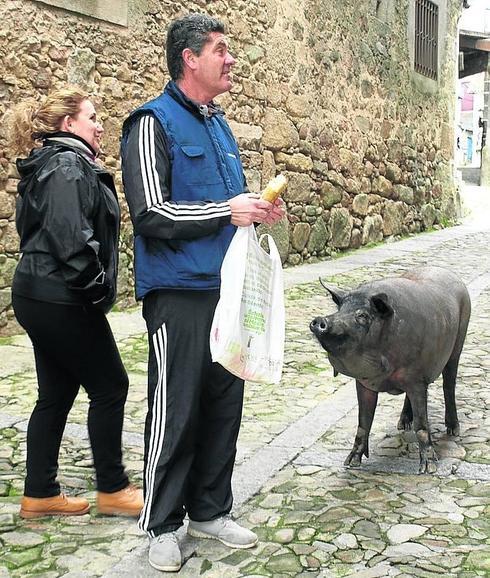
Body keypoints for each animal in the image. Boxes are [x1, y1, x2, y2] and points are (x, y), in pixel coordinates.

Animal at [310, 266, 470, 472]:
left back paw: (453, 431)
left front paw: (427, 469)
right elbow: (363, 421)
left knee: (449, 384)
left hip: (458, 344)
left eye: (362, 316)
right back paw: (402, 425)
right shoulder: (364, 382)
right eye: (340, 309)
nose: (319, 320)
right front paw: (350, 463)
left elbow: (422, 424)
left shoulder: (416, 378)